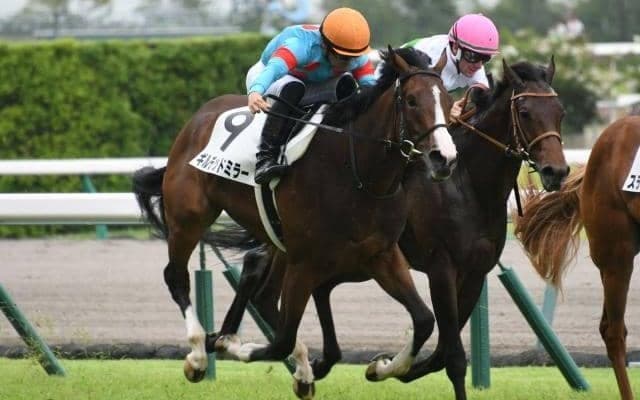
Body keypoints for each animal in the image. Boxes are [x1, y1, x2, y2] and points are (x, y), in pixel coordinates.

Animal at [132, 46, 458, 398]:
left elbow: (424, 320)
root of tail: (198, 118)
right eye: (411, 100)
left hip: (276, 238)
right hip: (189, 217)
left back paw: (298, 370)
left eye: (448, 101)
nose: (444, 158)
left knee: (260, 292)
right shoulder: (306, 262)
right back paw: (197, 353)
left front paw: (381, 366)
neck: (356, 172)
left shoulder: (381, 255)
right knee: (177, 276)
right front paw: (231, 345)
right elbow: (281, 340)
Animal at [214, 57, 570, 400]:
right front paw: (388, 366)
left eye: (560, 112)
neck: (466, 183)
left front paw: (388, 367)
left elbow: (442, 352)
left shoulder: (474, 273)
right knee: (273, 275)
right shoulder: (441, 267)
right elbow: (452, 355)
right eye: (525, 112)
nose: (557, 171)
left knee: (276, 278)